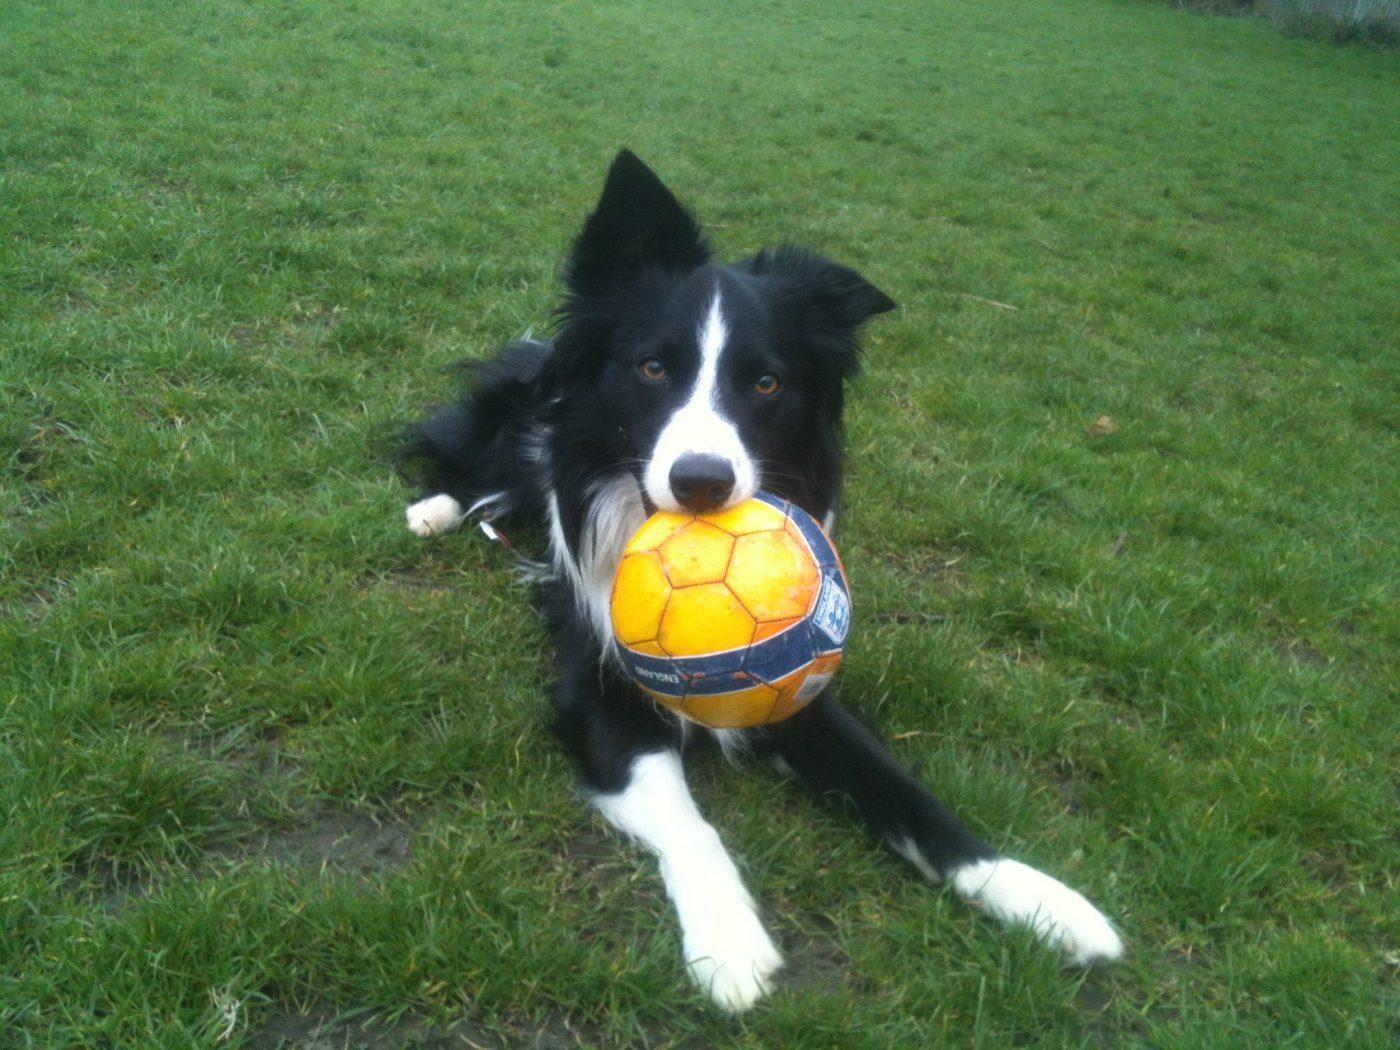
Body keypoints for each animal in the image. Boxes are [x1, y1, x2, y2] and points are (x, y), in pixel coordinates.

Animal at [400, 151, 1120, 1013]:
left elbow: (907, 797)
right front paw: (730, 944)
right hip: (512, 433)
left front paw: (1041, 899)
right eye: (653, 368)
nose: (702, 481)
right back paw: (433, 509)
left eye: (767, 384)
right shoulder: (596, 694)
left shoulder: (800, 690)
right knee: (469, 464)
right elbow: (688, 819)